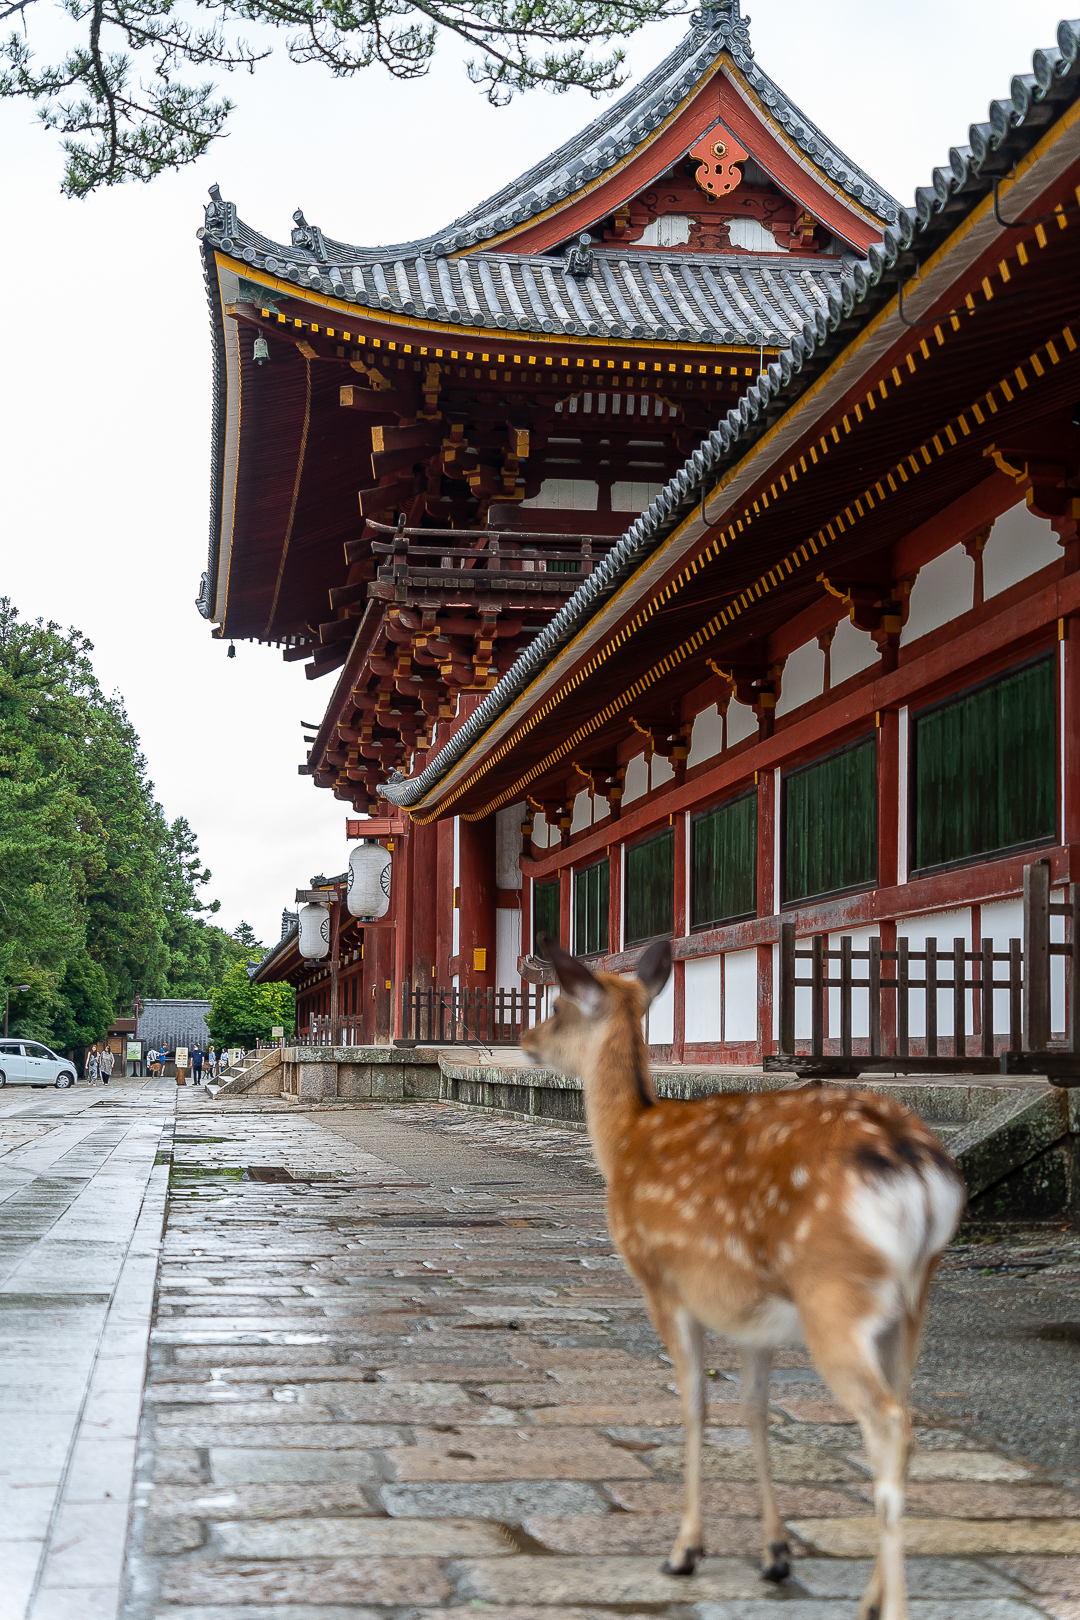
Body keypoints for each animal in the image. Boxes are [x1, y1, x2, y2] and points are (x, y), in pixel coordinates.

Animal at [524, 939, 965, 1620]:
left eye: (557, 1007)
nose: (524, 1038)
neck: (625, 1139)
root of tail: (918, 1172)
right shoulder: (757, 1316)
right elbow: (755, 1410)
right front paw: (775, 1554)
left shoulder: (663, 1283)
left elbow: (695, 1405)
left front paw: (685, 1551)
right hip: (911, 1301)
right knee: (906, 1422)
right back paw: (869, 1595)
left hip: (834, 1293)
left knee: (888, 1423)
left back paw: (888, 1606)